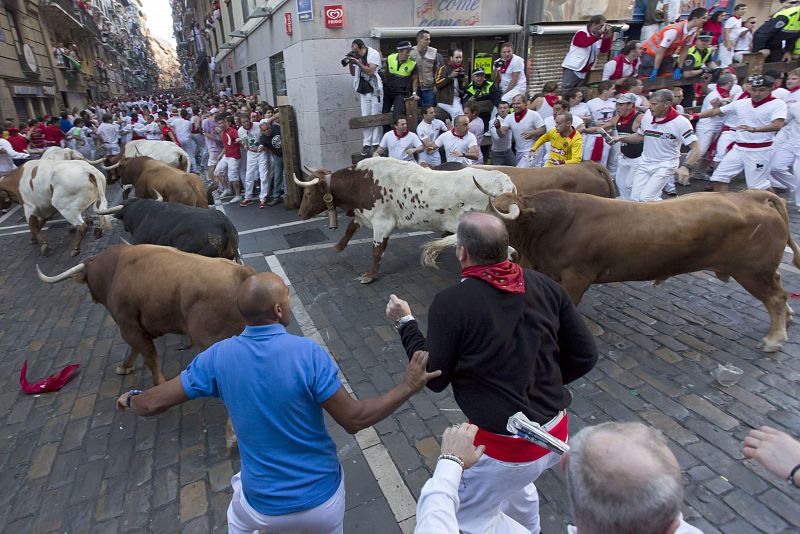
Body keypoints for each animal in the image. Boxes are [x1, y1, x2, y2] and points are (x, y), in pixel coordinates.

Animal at [36, 245, 255, 388]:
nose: (92, 297)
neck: (115, 269)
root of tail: (241, 273)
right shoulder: (136, 328)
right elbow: (136, 350)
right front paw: (125, 367)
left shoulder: (128, 327)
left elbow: (148, 355)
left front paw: (158, 384)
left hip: (212, 342)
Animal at [296, 157, 516, 284]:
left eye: (308, 193)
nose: (300, 214)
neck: (362, 181)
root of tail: (501, 180)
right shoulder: (364, 215)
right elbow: (351, 228)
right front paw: (338, 246)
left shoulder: (382, 223)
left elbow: (376, 250)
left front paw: (370, 275)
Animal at [428, 188, 800, 356]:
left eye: (495, 212)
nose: (461, 229)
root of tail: (752, 196)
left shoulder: (577, 277)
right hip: (761, 271)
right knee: (781, 291)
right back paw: (789, 321)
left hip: (752, 271)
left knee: (775, 297)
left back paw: (774, 338)